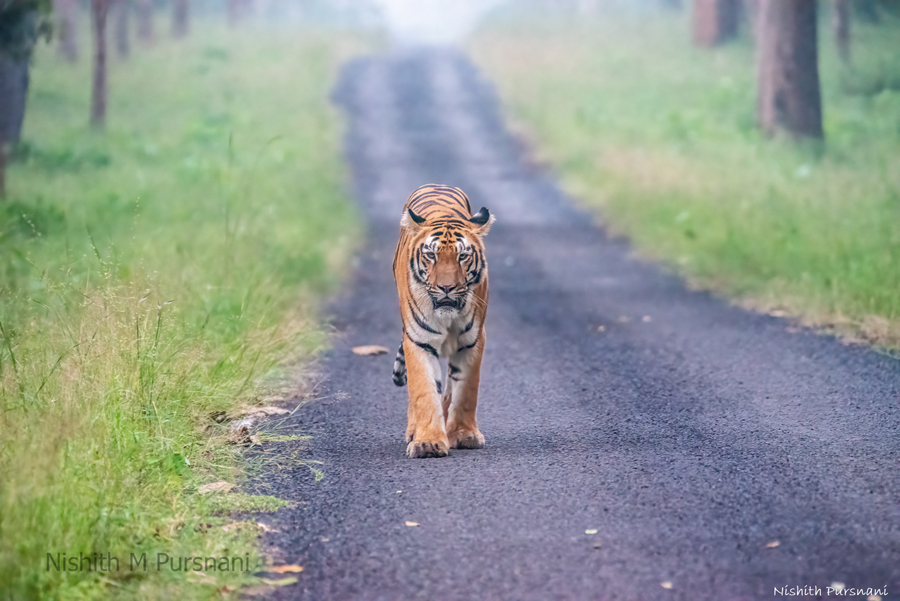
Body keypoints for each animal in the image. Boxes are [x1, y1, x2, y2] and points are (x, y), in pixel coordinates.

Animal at [391, 184, 495, 459]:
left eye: (463, 257)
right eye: (431, 255)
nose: (446, 288)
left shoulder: (473, 340)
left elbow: (466, 390)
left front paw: (464, 434)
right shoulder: (418, 340)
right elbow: (424, 392)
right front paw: (427, 442)